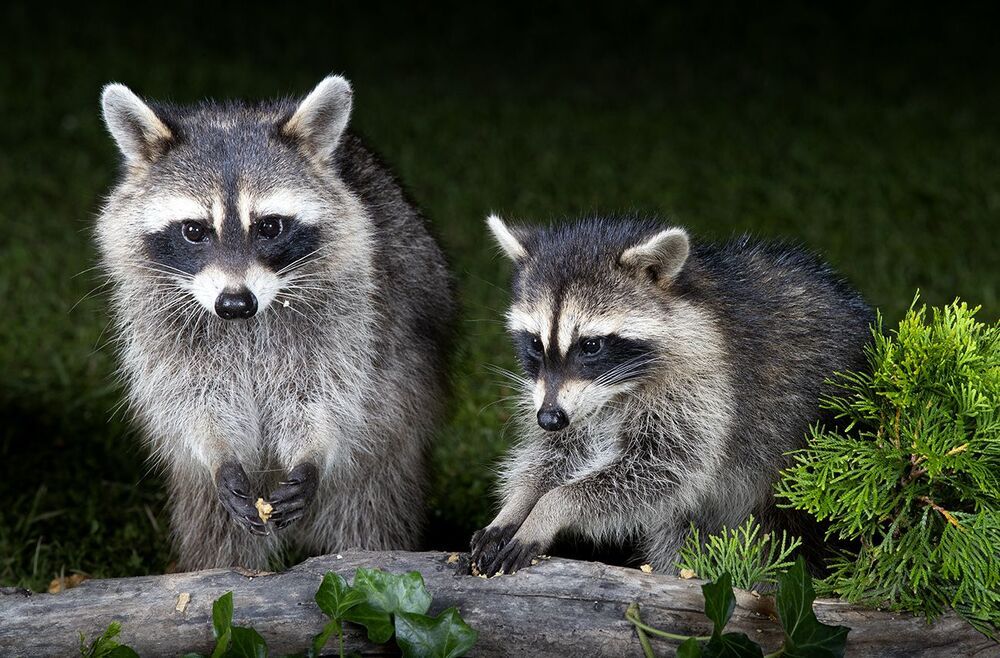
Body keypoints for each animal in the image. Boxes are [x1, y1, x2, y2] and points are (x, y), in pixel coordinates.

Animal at [96, 76, 454, 571]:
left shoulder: (350, 305)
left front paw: (313, 450)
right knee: (215, 533)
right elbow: (191, 393)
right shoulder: (158, 314)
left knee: (370, 515)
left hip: (387, 447)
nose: (234, 303)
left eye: (268, 227)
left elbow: (327, 388)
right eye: (194, 230)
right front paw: (218, 452)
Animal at [470, 214, 872, 576]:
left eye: (591, 345)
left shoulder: (704, 383)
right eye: (535, 344)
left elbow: (661, 470)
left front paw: (550, 509)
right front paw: (519, 503)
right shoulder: (569, 400)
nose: (549, 419)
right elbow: (555, 454)